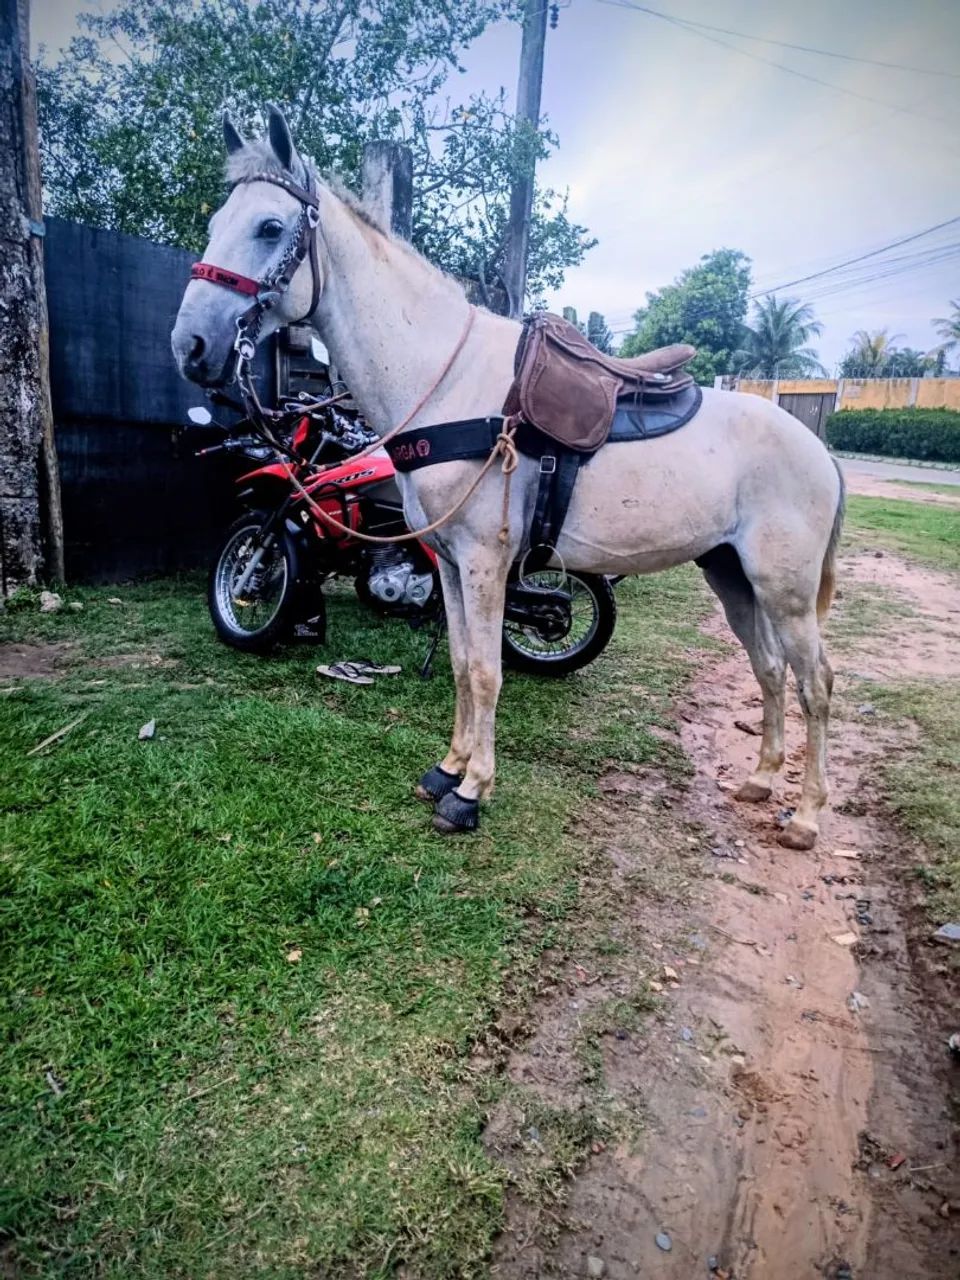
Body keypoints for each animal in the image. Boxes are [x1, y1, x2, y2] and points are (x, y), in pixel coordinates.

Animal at [172, 106, 845, 851]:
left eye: (269, 227)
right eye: (216, 221)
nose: (190, 347)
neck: (448, 384)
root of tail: (819, 452)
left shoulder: (486, 560)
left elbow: (489, 671)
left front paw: (472, 794)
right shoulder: (448, 562)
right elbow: (462, 663)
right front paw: (447, 768)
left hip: (784, 588)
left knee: (816, 681)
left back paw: (806, 815)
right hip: (733, 576)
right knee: (770, 669)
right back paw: (761, 779)